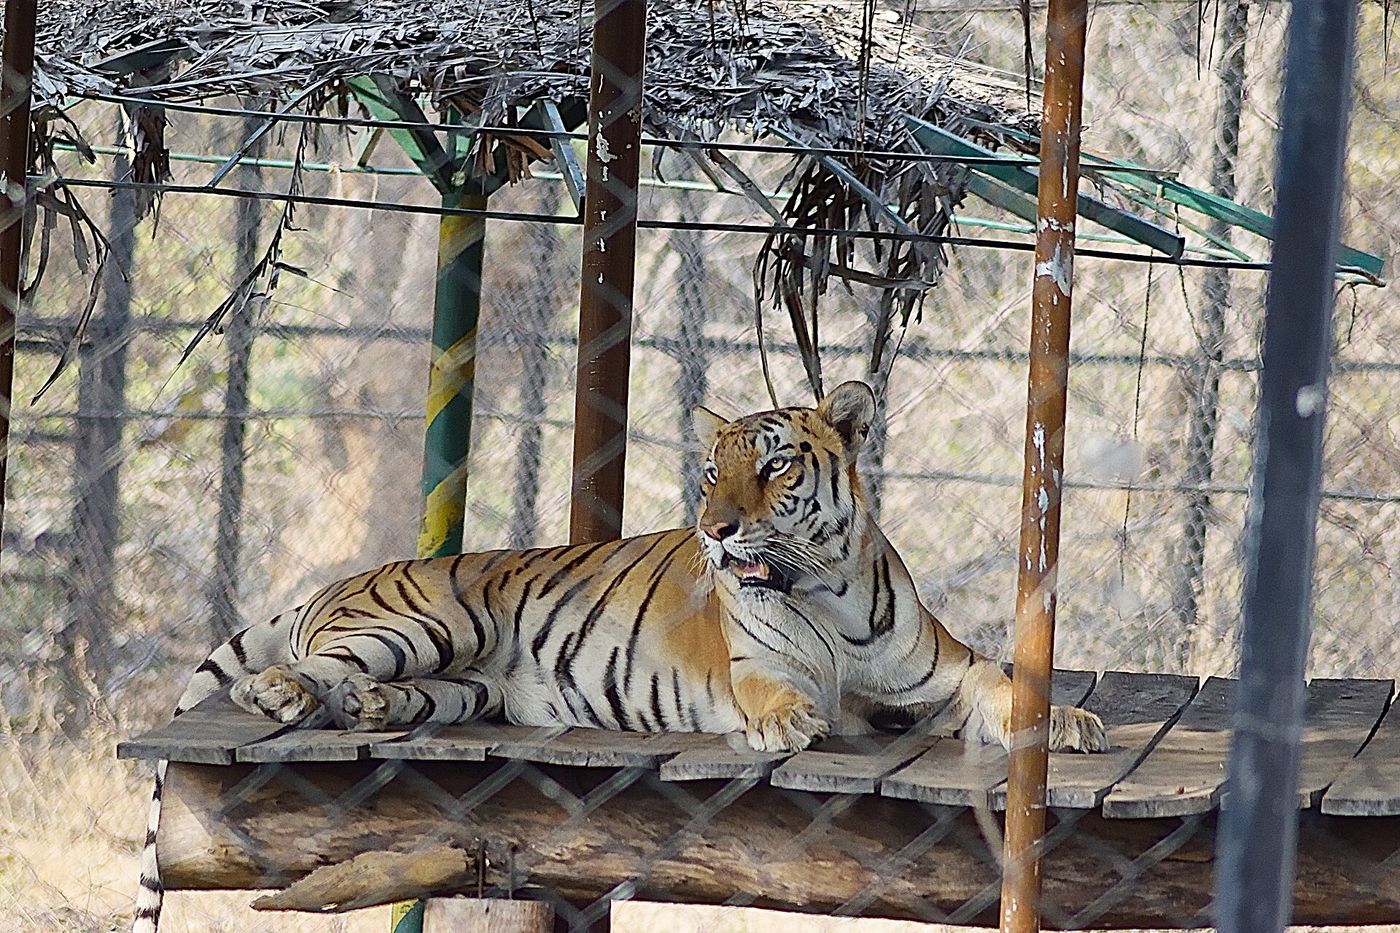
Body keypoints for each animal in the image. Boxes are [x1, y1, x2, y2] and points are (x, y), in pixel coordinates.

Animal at [133, 380, 1106, 932]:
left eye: (776, 466)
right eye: (712, 471)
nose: (717, 529)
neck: (822, 581)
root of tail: (341, 579)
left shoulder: (942, 675)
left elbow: (1006, 683)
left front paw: (1071, 719)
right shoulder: (762, 670)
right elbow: (783, 696)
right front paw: (793, 723)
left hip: (462, 684)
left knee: (390, 692)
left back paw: (371, 709)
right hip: (429, 622)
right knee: (314, 667)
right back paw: (284, 695)